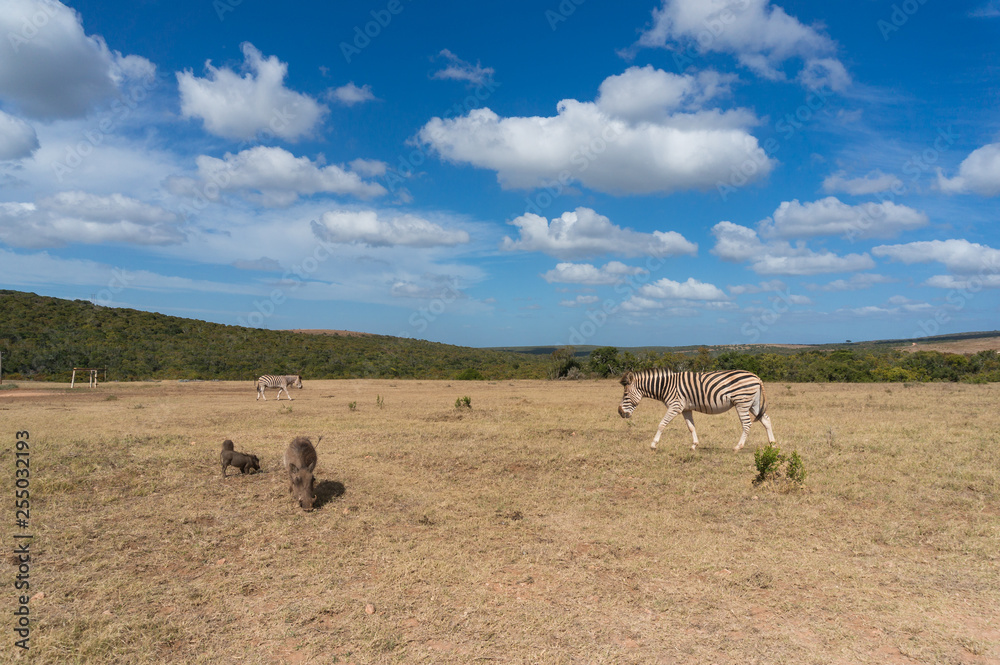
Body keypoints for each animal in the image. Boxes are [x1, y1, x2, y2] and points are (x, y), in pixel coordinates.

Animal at [617, 369, 775, 452]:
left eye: (625, 395)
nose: (620, 412)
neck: (665, 387)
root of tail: (756, 376)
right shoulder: (685, 409)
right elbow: (691, 427)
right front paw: (694, 445)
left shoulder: (675, 406)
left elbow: (661, 424)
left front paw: (653, 444)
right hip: (753, 403)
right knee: (766, 420)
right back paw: (772, 444)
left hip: (742, 402)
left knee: (747, 424)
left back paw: (738, 446)